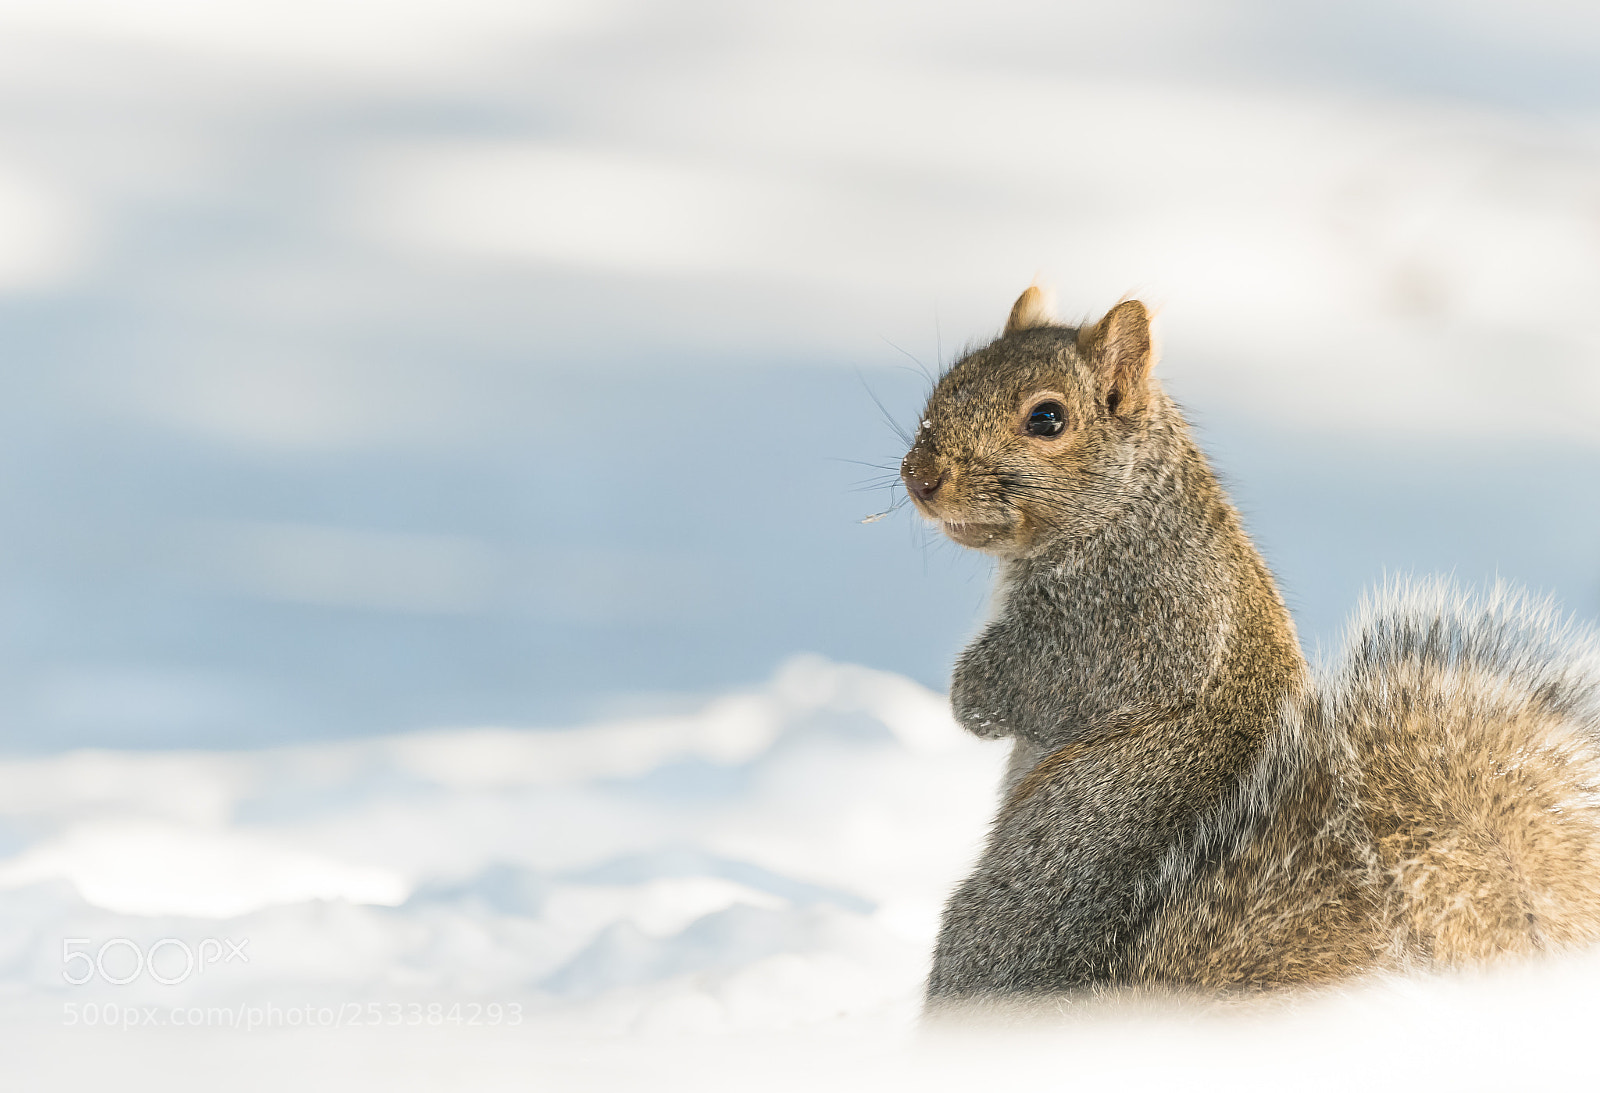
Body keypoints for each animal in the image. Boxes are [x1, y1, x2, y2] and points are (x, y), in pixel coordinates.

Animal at [901, 286, 1600, 1014]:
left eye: (1047, 418)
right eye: (948, 380)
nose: (919, 477)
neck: (1130, 510)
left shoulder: (1126, 624)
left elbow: (1030, 680)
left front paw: (968, 693)